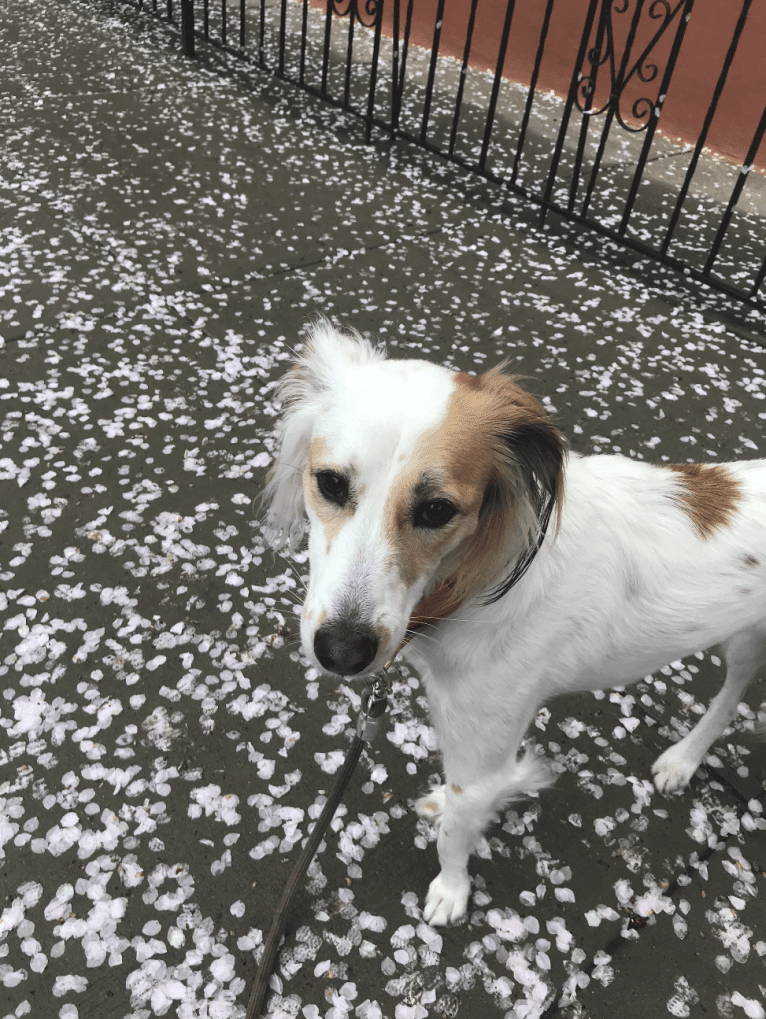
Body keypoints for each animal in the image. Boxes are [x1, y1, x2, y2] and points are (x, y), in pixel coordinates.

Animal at [260, 322, 761, 929]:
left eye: (437, 510)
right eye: (330, 483)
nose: (342, 650)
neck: (471, 585)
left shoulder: (484, 754)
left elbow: (457, 833)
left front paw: (451, 891)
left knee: (732, 693)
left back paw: (684, 759)